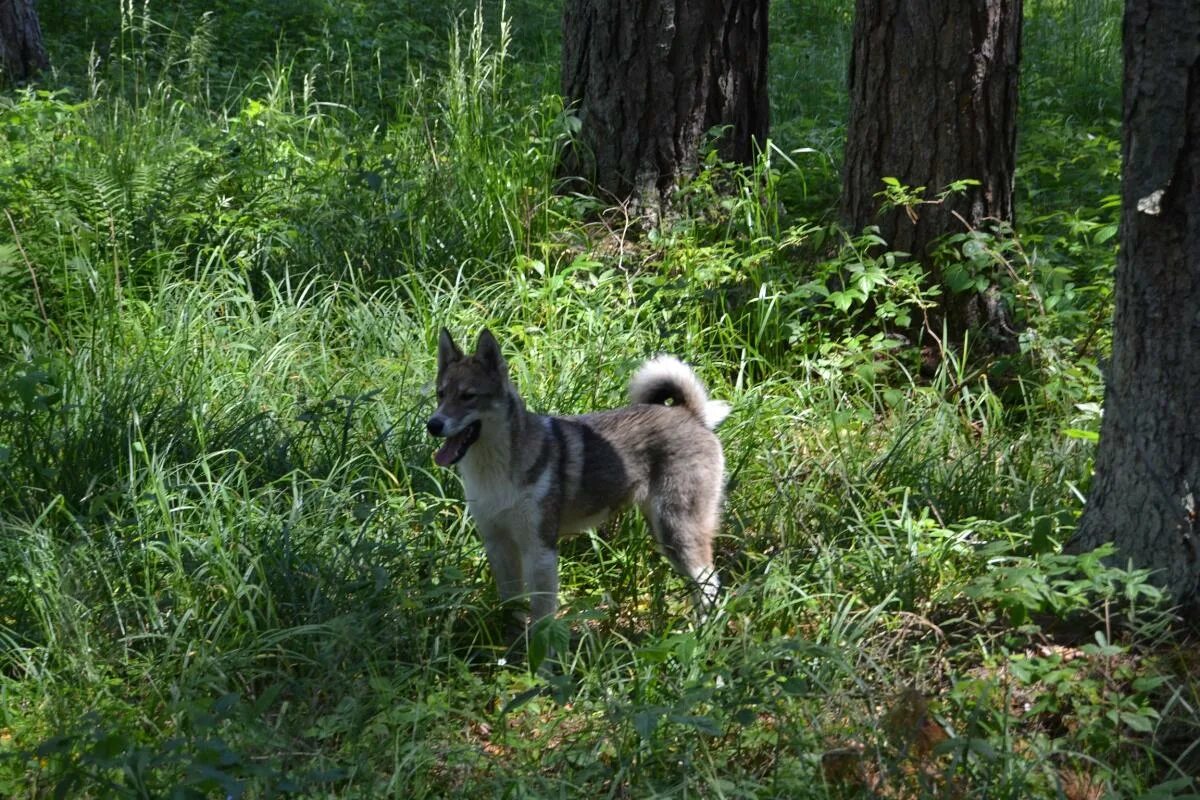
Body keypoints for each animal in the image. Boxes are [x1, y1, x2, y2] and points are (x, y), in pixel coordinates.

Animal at [432, 328, 729, 628]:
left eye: (468, 396)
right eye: (440, 394)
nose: (432, 424)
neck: (495, 471)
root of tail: (691, 415)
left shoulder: (540, 550)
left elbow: (542, 616)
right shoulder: (498, 545)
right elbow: (511, 602)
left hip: (676, 529)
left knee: (710, 584)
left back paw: (702, 632)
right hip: (664, 533)